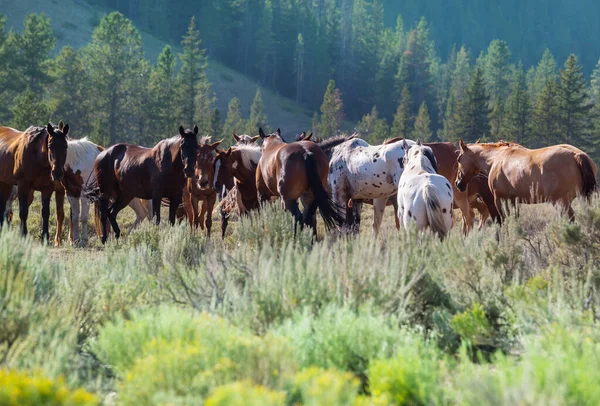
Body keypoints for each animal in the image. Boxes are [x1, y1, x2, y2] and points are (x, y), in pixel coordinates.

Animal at [458, 141, 596, 220]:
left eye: (459, 159)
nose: (458, 183)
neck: (496, 158)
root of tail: (576, 155)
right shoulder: (514, 201)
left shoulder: (500, 199)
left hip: (561, 201)